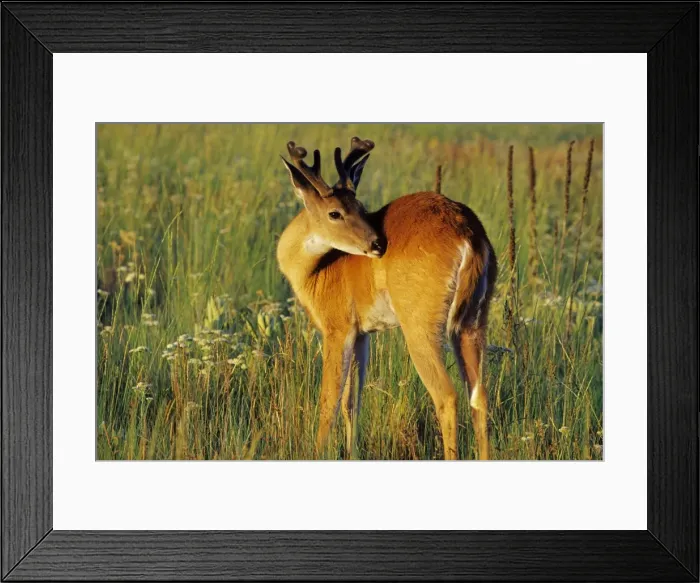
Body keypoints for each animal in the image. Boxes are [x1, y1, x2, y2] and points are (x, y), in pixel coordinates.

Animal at [277, 137, 497, 460]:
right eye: (336, 212)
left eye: (359, 207)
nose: (377, 243)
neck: (319, 270)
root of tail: (468, 233)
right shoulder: (362, 334)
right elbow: (352, 402)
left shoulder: (337, 328)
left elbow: (329, 402)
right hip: (472, 322)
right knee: (478, 396)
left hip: (421, 325)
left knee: (447, 395)